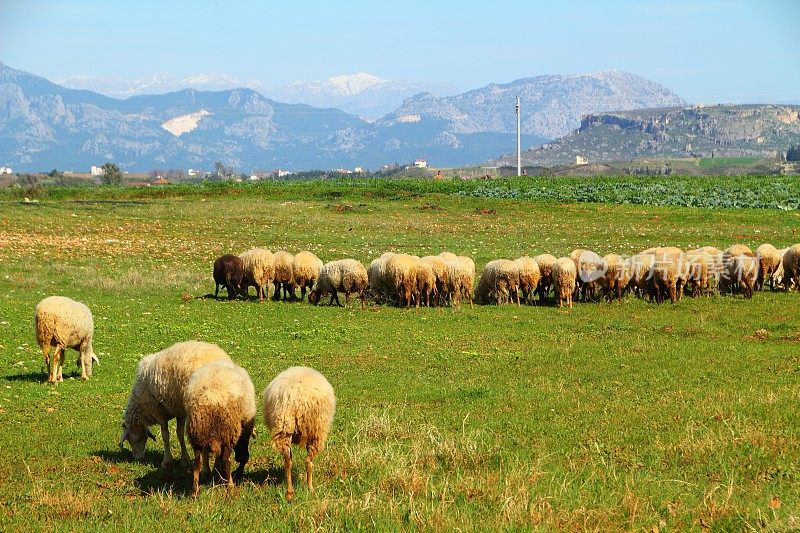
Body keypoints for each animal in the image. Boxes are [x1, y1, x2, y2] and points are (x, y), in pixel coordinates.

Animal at [119, 338, 231, 468]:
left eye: (129, 439)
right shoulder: (179, 411)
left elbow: (165, 435)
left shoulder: (159, 410)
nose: (138, 459)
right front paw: (184, 459)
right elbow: (180, 434)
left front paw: (167, 461)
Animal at [185, 360, 255, 496]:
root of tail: (211, 401)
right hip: (227, 433)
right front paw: (236, 474)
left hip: (196, 435)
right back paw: (230, 487)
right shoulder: (244, 431)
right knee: (225, 461)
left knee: (197, 463)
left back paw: (194, 491)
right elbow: (244, 456)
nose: (237, 458)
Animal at [264, 364, 336, 500]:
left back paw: (289, 493)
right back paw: (310, 488)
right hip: (316, 431)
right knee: (308, 460)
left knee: (288, 461)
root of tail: (295, 397)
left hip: (284, 428)